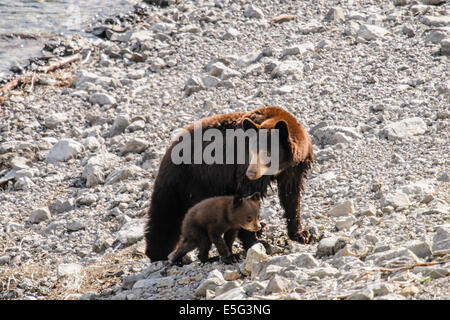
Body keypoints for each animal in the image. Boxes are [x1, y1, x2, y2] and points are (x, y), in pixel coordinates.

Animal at [145, 106, 312, 262]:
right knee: (165, 217)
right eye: (252, 151)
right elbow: (247, 197)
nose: (251, 173)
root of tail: (168, 151)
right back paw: (159, 254)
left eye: (267, 153)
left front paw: (300, 234)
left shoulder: (294, 168)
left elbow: (291, 196)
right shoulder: (243, 170)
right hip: (187, 182)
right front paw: (257, 242)